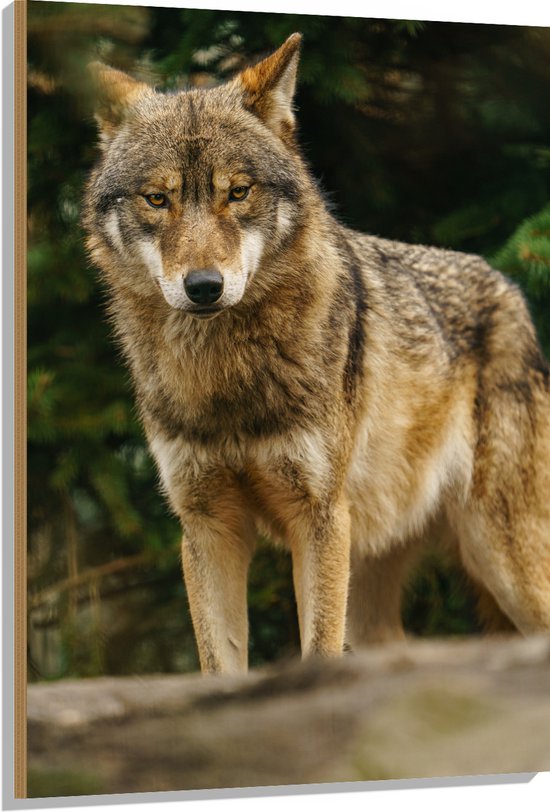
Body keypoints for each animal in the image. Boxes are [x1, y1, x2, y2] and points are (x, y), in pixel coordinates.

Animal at [83, 34, 550, 674]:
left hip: (503, 560)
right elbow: (218, 667)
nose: (203, 287)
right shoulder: (208, 525)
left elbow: (319, 651)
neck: (226, 377)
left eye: (238, 192)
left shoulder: (319, 517)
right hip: (382, 589)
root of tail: (512, 289)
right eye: (157, 199)